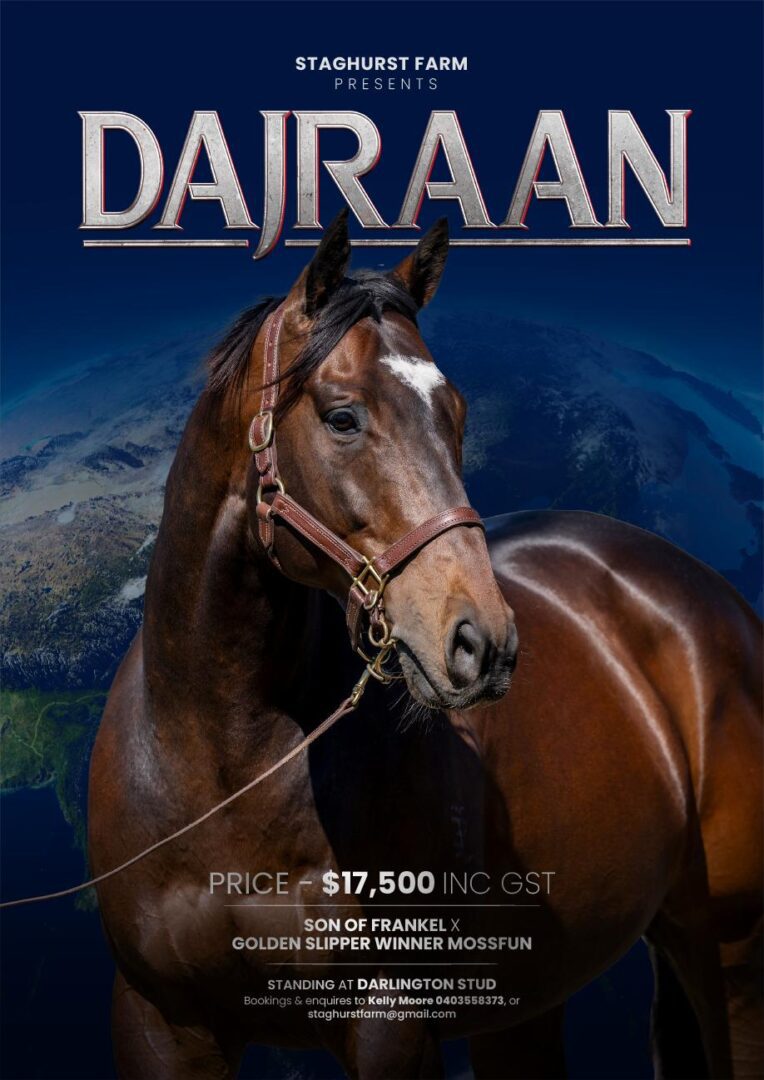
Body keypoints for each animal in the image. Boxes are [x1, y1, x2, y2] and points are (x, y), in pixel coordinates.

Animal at [89, 211, 763, 1079]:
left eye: (460, 413)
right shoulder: (159, 1022)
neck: (219, 773)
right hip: (529, 1001)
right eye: (342, 417)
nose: (484, 642)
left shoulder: (390, 1023)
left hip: (731, 954)